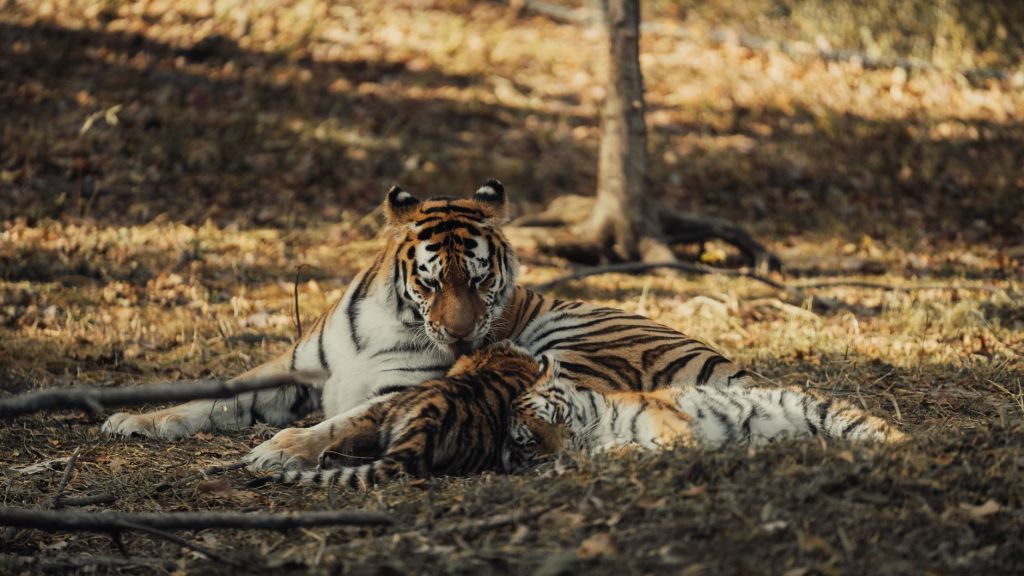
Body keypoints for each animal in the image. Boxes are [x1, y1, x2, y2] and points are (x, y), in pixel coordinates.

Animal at [102, 179, 754, 472]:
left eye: (483, 282)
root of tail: (738, 369)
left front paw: (279, 448)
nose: (464, 338)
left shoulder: (405, 389)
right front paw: (137, 419)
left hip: (572, 349)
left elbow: (340, 420)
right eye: (434, 283)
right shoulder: (294, 370)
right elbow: (211, 398)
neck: (385, 321)